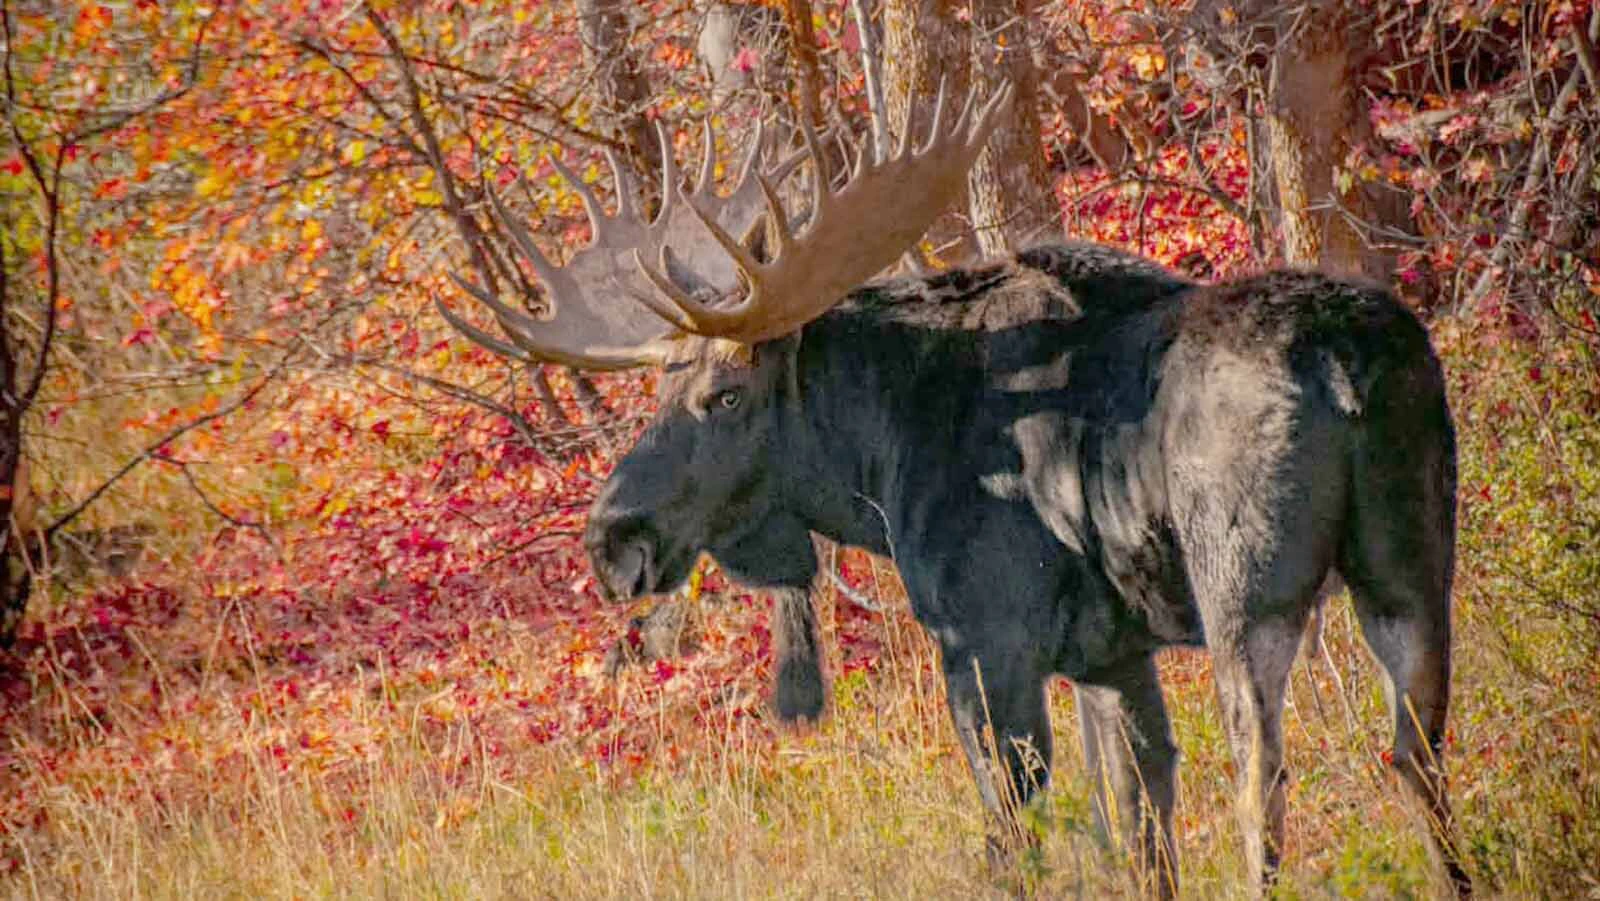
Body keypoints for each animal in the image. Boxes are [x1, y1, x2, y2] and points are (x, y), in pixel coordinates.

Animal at [438, 84, 1470, 896]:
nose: (612, 538)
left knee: (1266, 777)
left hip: (1246, 589)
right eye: (658, 390)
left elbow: (1015, 840)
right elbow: (1140, 831)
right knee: (1418, 753)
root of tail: (1346, 364)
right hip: (1412, 562)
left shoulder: (984, 639)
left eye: (724, 394)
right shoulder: (1110, 654)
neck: (878, 462)